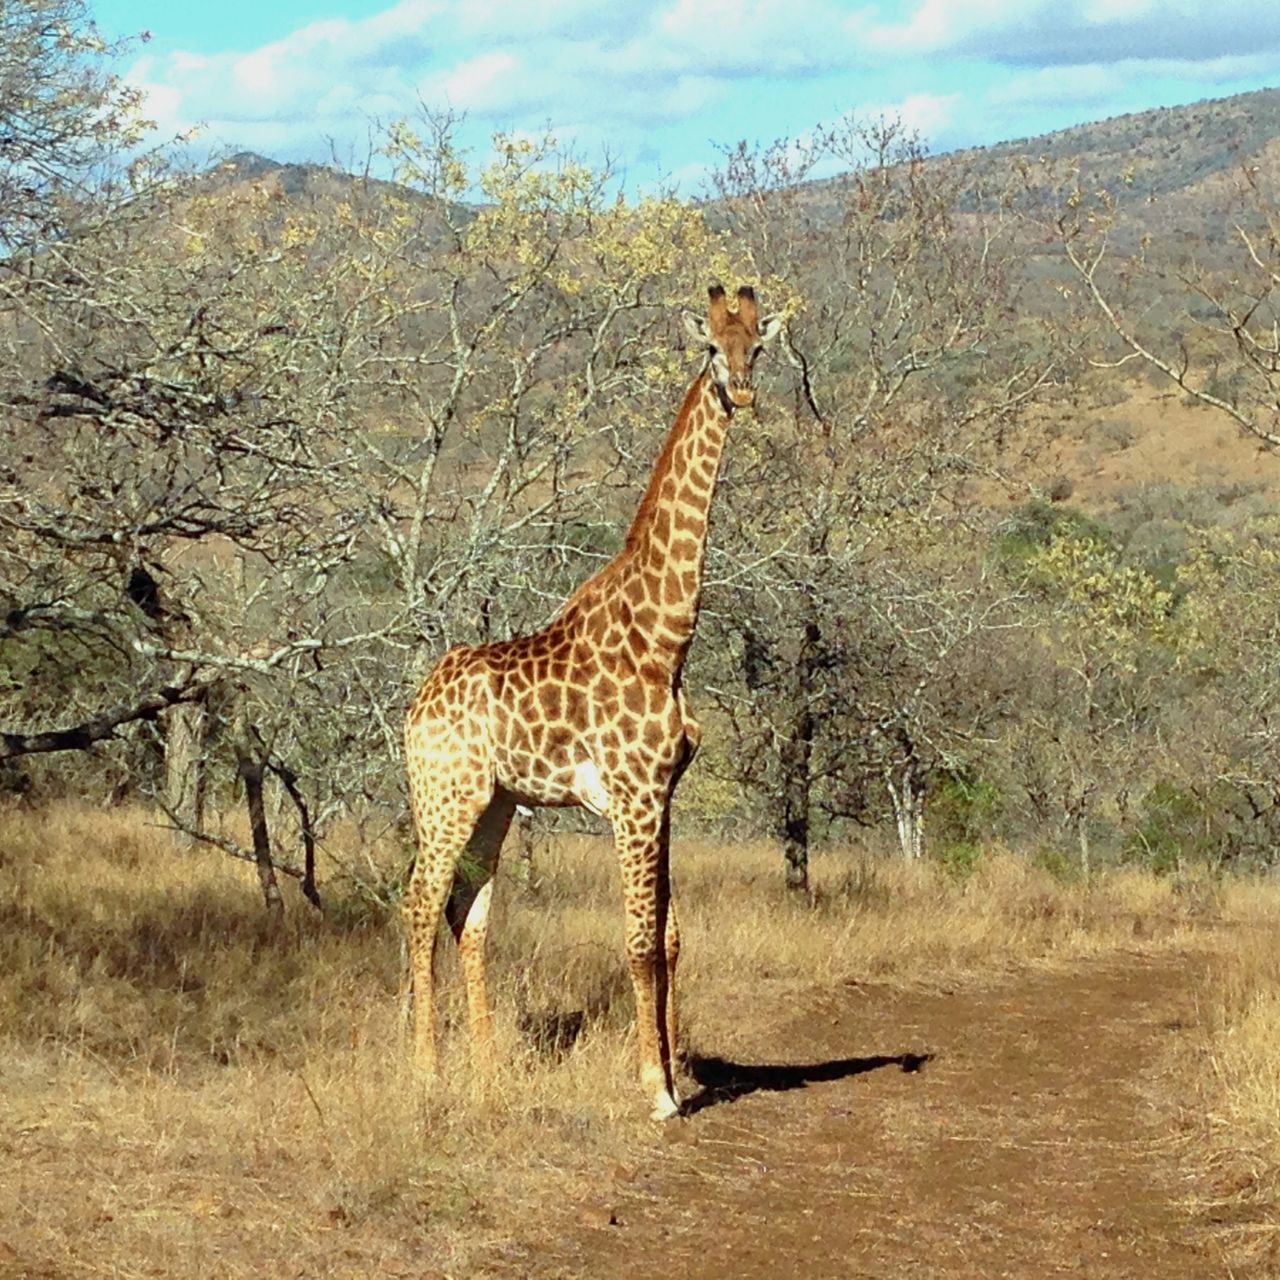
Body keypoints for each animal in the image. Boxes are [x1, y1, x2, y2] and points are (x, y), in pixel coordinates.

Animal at [402, 284, 783, 1119]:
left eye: (759, 346)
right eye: (712, 347)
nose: (742, 391)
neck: (666, 635)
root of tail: (413, 706)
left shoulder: (662, 796)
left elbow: (671, 939)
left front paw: (675, 1072)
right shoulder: (633, 797)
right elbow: (639, 943)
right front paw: (658, 1094)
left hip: (495, 802)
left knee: (465, 911)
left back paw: (487, 1072)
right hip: (445, 794)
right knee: (417, 902)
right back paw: (426, 1071)